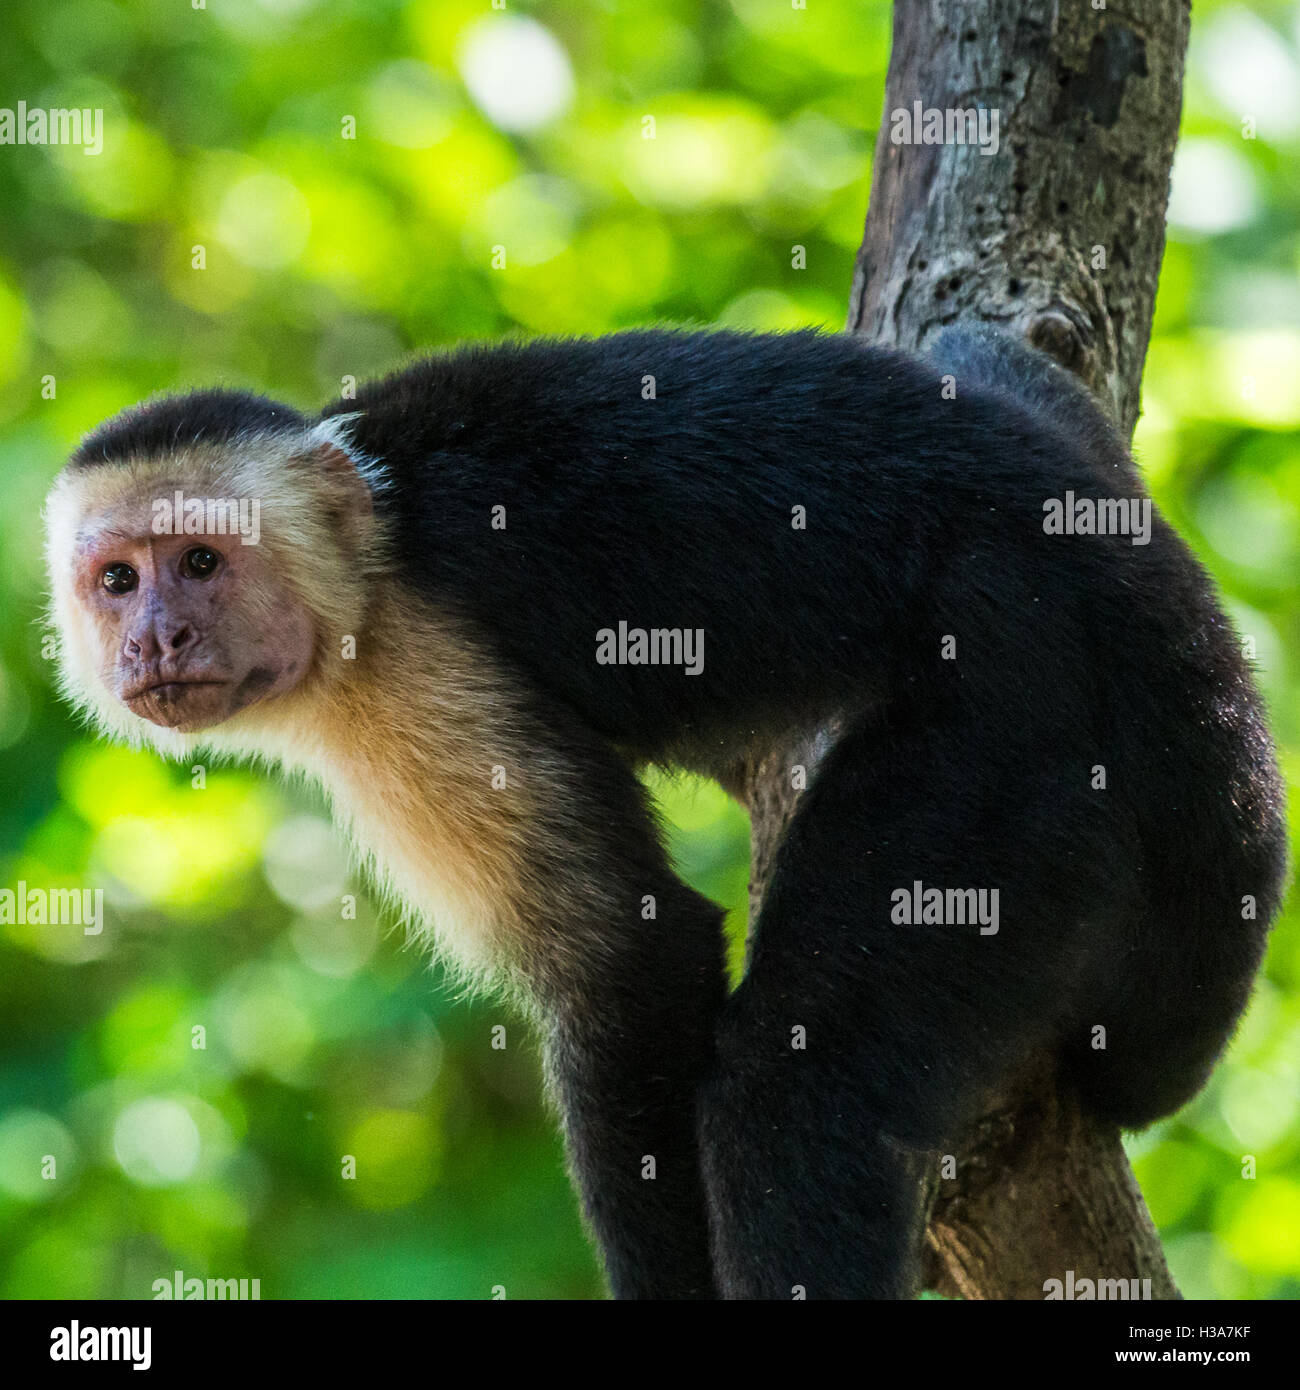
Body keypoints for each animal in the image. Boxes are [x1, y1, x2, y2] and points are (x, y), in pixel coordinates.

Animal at [45, 328, 1284, 1301]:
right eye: (118, 581)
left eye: (201, 562)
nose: (154, 640)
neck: (369, 544)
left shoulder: (411, 665)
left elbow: (627, 961)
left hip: (1018, 696)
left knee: (795, 1088)